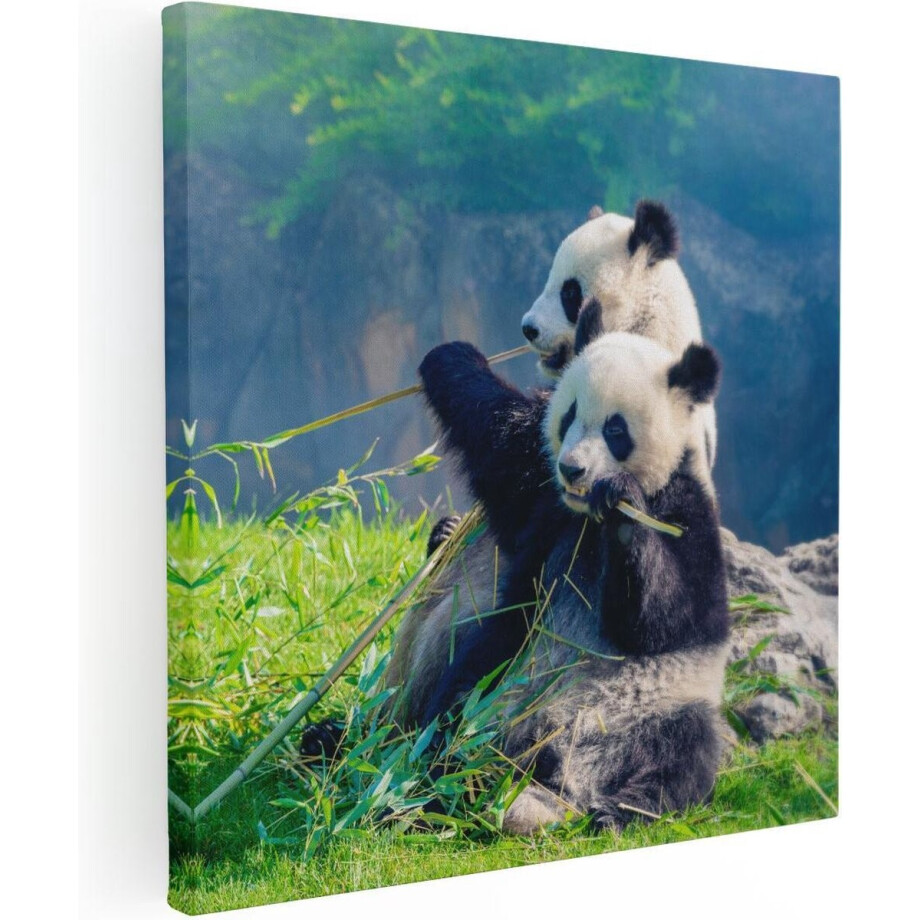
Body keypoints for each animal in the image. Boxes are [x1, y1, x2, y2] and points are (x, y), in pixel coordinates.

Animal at [410, 322, 728, 832]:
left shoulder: (687, 510)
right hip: (501, 678)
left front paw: (622, 503)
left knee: (684, 756)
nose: (573, 469)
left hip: (662, 705)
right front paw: (452, 355)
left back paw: (618, 810)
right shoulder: (548, 512)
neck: (587, 520)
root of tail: (561, 773)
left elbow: (668, 619)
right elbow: (503, 446)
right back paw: (436, 779)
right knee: (458, 705)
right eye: (569, 417)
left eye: (615, 429)